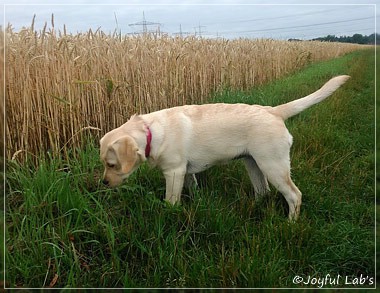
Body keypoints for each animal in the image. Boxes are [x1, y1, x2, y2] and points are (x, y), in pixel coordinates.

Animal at [100, 75, 350, 219]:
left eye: (112, 164)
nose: (103, 183)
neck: (150, 131)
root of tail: (273, 111)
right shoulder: (185, 172)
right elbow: (193, 189)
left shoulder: (174, 172)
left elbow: (170, 201)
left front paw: (169, 214)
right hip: (253, 164)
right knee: (263, 191)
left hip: (273, 166)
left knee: (294, 195)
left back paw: (290, 224)